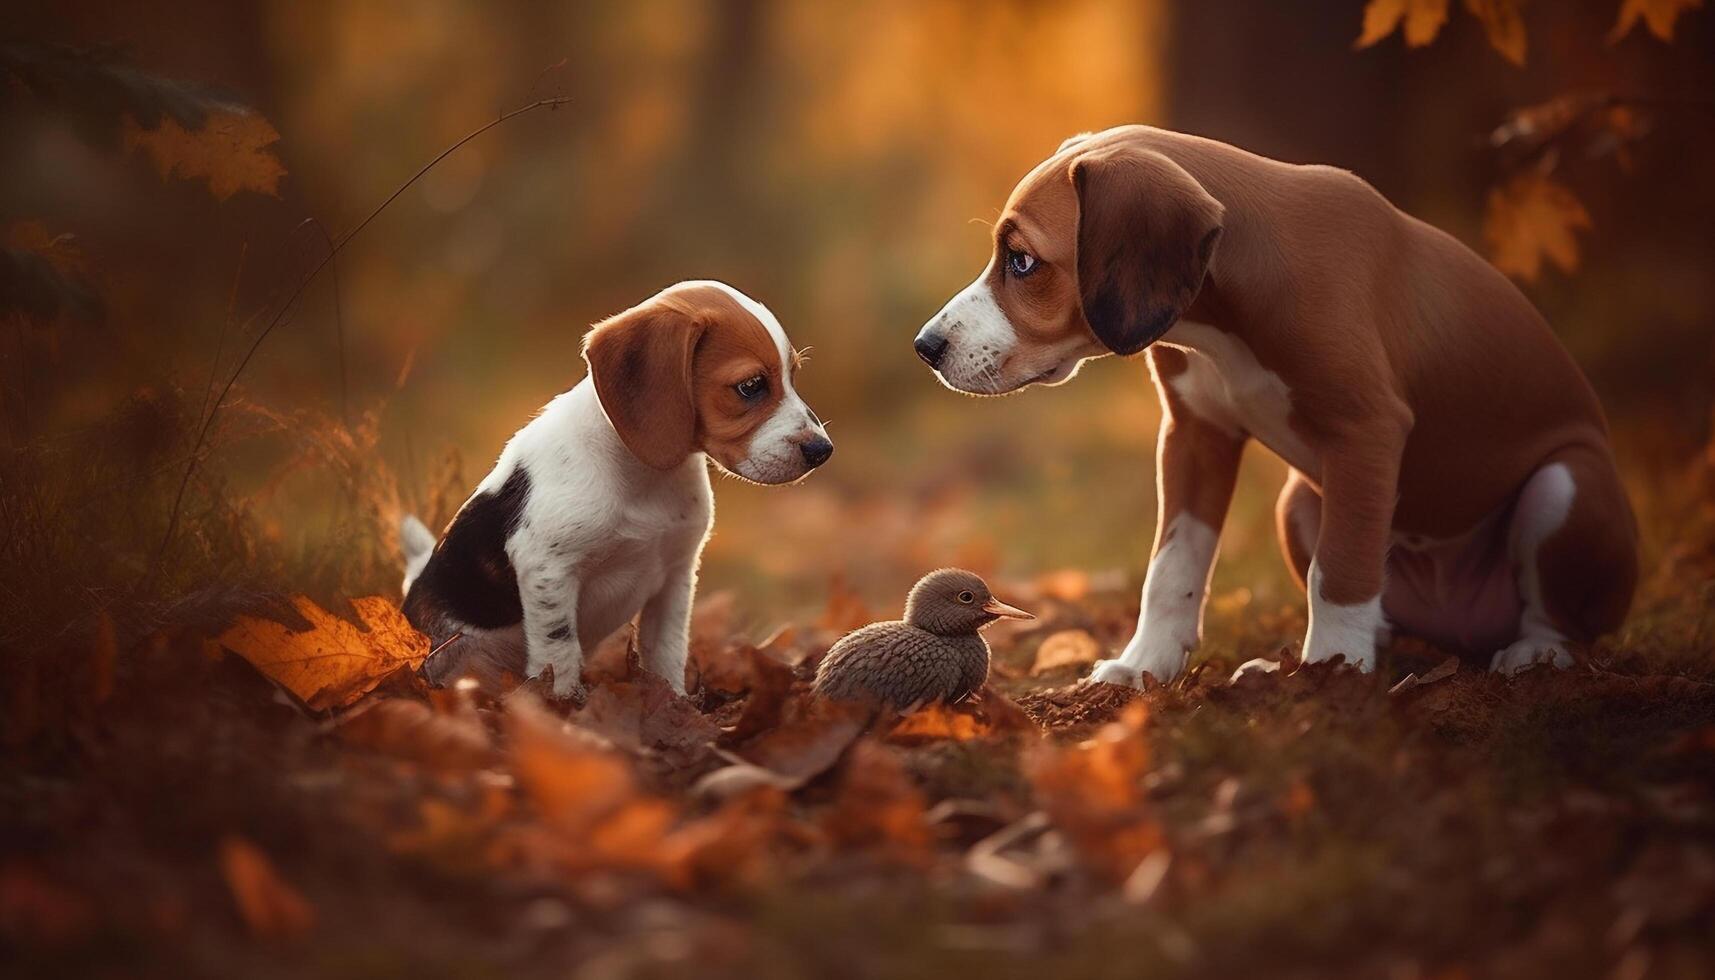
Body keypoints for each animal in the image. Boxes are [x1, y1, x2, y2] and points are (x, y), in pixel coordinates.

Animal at [401, 279, 830, 700]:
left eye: (792, 376)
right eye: (751, 386)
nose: (822, 450)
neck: (645, 477)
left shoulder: (676, 575)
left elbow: (667, 652)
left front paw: (673, 703)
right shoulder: (546, 568)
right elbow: (560, 653)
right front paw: (563, 709)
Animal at [912, 126, 1632, 686]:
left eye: (1022, 261)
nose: (926, 347)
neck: (1221, 327)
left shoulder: (1365, 432)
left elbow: (1339, 571)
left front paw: (1331, 674)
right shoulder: (1195, 434)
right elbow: (1171, 565)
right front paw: (1144, 664)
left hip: (1563, 485)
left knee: (1555, 615)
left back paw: (1533, 652)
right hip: (1299, 501)